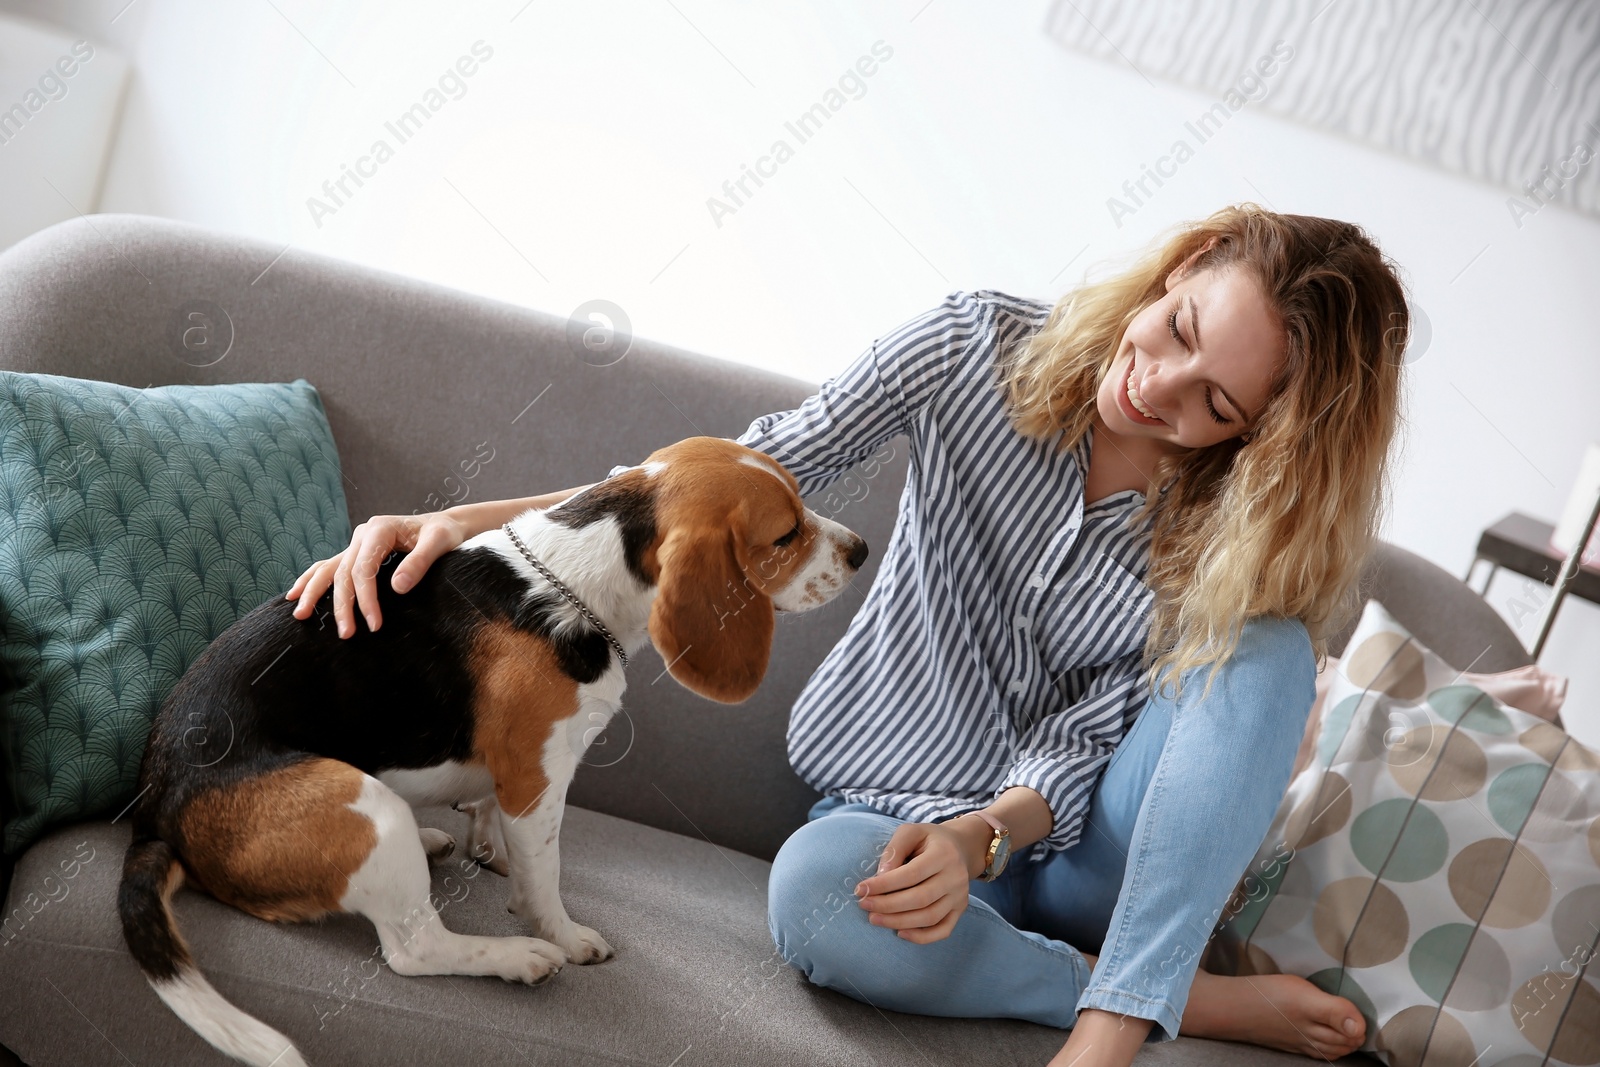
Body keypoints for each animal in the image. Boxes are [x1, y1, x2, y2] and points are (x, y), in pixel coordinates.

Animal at [116, 435, 870, 1067]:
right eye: (786, 533)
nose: (861, 548)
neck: (577, 580)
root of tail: (155, 810)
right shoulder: (538, 774)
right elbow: (546, 873)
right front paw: (562, 933)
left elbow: (494, 818)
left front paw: (491, 847)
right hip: (366, 807)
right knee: (414, 949)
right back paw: (517, 956)